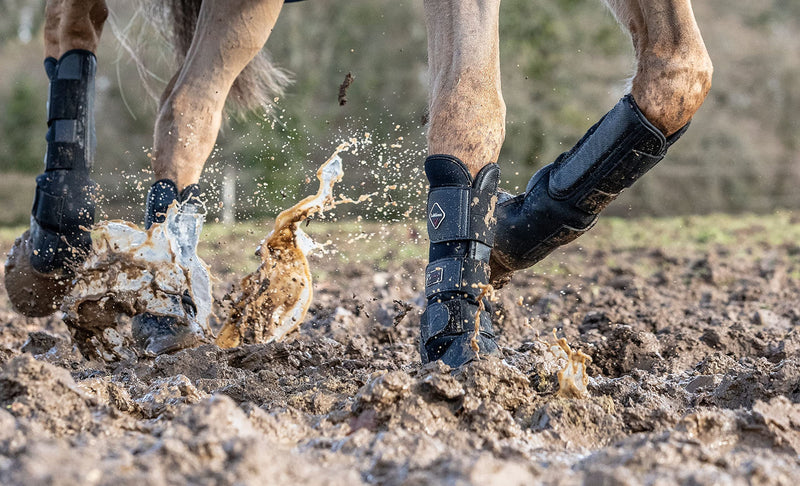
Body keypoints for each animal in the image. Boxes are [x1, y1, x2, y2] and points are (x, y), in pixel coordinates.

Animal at [3, 0, 708, 368]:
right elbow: (471, 108)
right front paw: (452, 358)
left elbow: (678, 78)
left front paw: (505, 237)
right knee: (82, 43)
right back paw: (59, 255)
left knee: (188, 103)